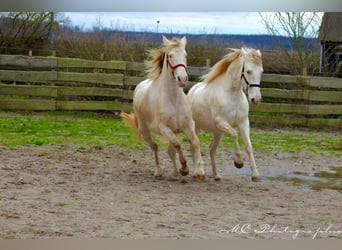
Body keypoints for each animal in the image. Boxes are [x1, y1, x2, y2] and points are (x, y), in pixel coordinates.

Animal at [121, 35, 206, 181]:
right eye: (170, 55)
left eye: (185, 55)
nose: (182, 79)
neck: (173, 100)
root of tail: (140, 85)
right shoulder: (164, 128)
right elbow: (178, 144)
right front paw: (184, 168)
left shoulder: (188, 125)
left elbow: (195, 142)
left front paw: (200, 172)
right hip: (144, 130)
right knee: (154, 147)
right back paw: (159, 172)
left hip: (174, 131)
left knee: (170, 151)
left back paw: (176, 174)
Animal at [188, 47, 264, 181]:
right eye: (248, 71)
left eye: (261, 72)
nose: (256, 99)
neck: (232, 94)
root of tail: (192, 90)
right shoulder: (220, 122)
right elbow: (234, 134)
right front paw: (238, 162)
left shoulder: (244, 123)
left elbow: (248, 146)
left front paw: (255, 174)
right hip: (196, 127)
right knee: (194, 146)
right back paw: (197, 173)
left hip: (218, 132)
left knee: (212, 149)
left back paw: (216, 175)